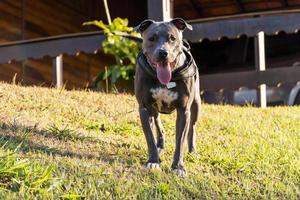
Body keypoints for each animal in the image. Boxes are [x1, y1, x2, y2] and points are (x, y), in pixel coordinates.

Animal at [134, 18, 200, 176]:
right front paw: (153, 161)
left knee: (192, 128)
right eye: (151, 38)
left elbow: (180, 141)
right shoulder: (144, 108)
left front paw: (178, 167)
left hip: (196, 105)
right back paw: (160, 146)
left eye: (172, 38)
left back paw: (192, 151)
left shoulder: (183, 111)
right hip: (154, 110)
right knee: (159, 126)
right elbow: (150, 137)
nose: (163, 52)